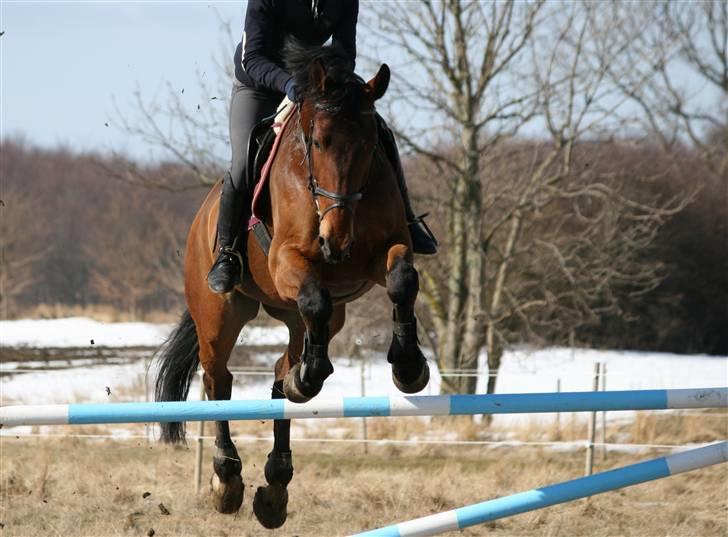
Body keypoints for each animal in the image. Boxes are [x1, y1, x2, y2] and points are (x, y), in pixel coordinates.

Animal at [151, 43, 430, 528]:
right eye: (318, 142)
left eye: (371, 144)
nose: (335, 241)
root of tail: (202, 214)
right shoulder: (287, 261)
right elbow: (314, 297)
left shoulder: (384, 251)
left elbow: (401, 279)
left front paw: (408, 365)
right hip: (220, 315)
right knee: (218, 379)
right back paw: (228, 479)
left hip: (302, 315)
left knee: (283, 372)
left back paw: (276, 483)